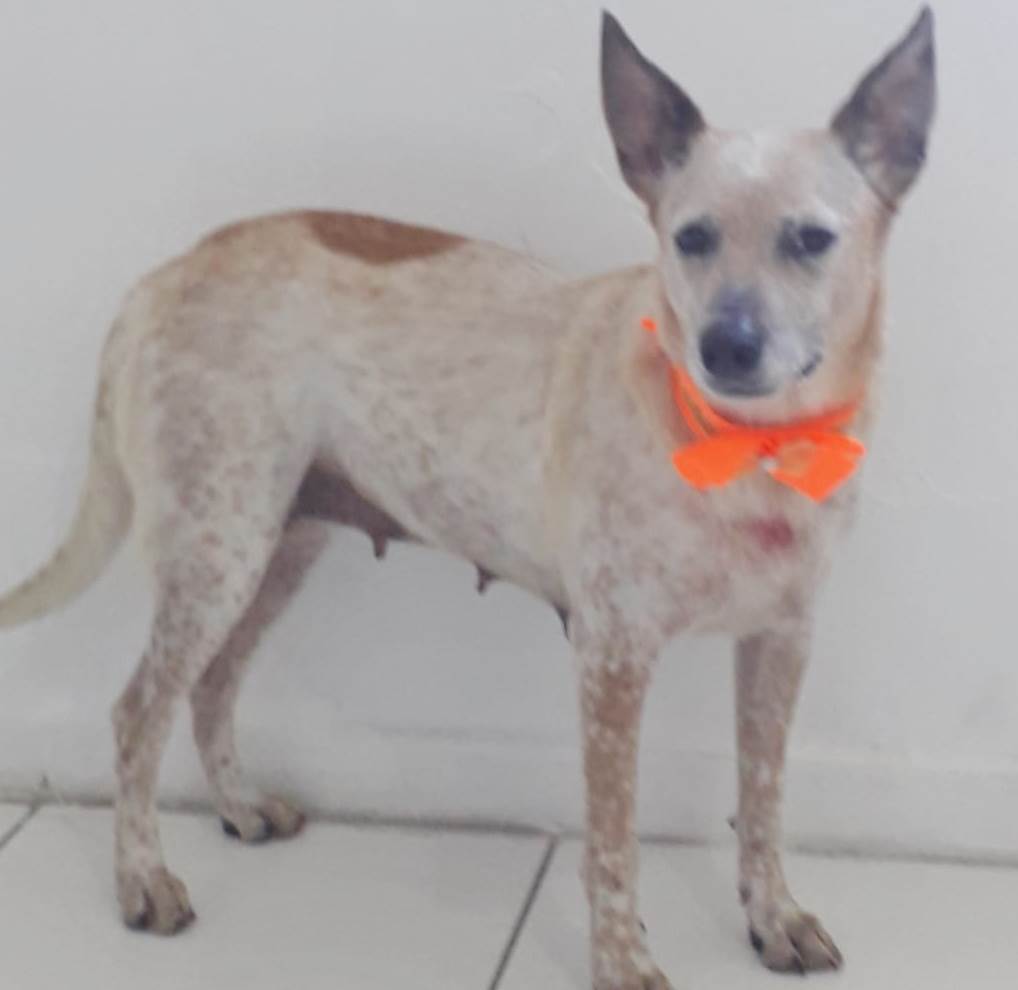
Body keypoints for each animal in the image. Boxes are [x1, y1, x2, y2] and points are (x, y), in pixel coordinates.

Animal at [0, 8, 935, 988]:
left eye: (811, 239)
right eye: (692, 238)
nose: (727, 345)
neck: (751, 450)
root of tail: (160, 276)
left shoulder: (782, 642)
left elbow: (762, 798)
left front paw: (774, 915)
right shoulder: (613, 653)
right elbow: (613, 838)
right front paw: (621, 958)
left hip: (275, 546)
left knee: (211, 689)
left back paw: (241, 807)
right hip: (217, 550)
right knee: (137, 711)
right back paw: (143, 879)